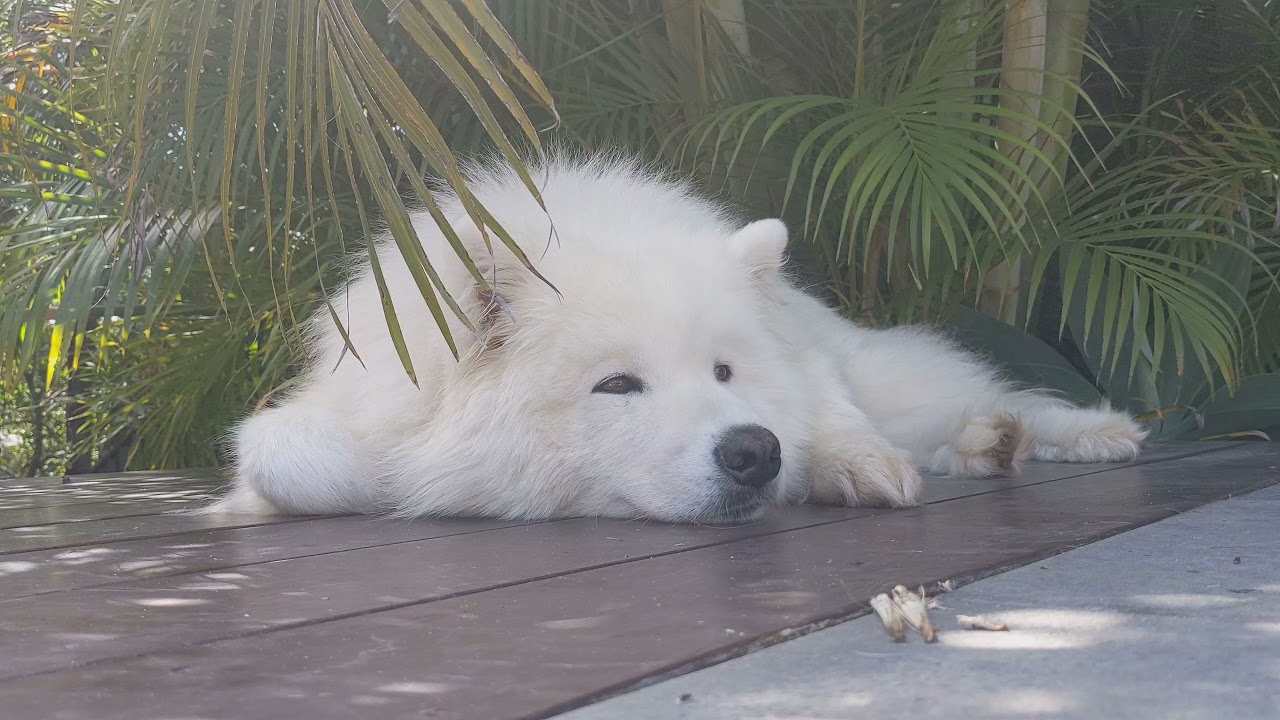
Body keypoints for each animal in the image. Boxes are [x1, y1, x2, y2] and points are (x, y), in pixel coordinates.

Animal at [215, 154, 1146, 517]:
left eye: (725, 372)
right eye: (617, 385)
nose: (754, 452)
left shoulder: (805, 366)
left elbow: (832, 416)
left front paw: (846, 464)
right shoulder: (330, 411)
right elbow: (299, 458)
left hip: (884, 366)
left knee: (981, 395)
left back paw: (1076, 433)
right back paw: (988, 445)